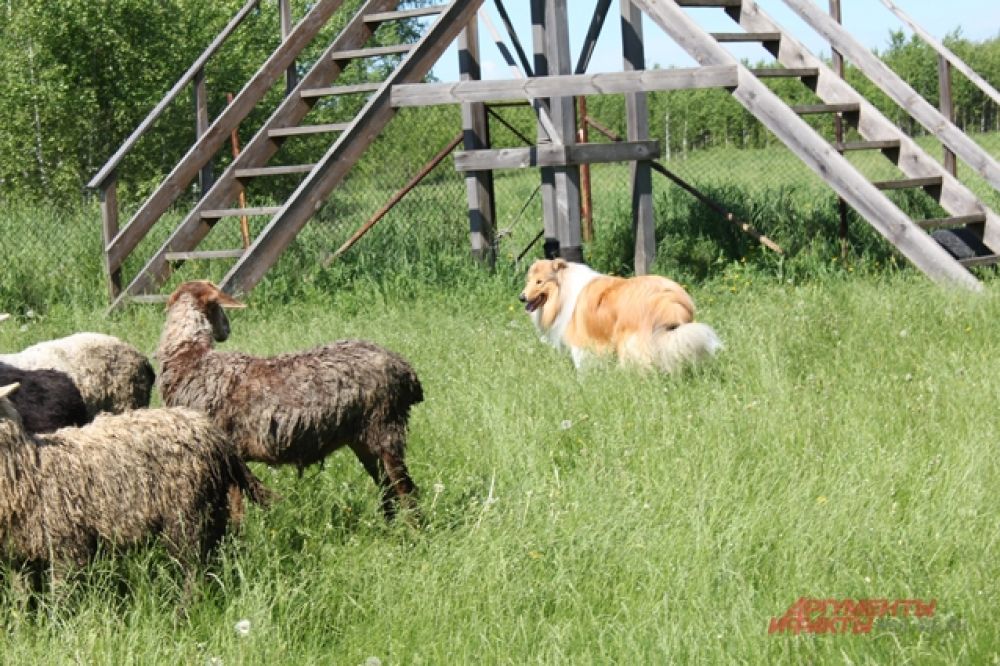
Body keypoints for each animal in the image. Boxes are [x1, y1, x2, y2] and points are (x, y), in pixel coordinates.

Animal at [0, 382, 272, 580]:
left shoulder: (67, 545)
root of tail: (216, 435)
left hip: (187, 512)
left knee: (192, 570)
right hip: (213, 509)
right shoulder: (18, 558)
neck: (29, 468)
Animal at [158, 280, 424, 520]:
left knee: (406, 489)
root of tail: (405, 369)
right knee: (386, 487)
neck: (189, 358)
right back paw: (389, 525)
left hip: (385, 427)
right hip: (362, 438)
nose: (228, 329)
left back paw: (411, 531)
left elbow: (236, 511)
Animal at [520, 258, 724, 370]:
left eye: (539, 282)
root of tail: (668, 302)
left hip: (630, 340)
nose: (521, 297)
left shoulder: (580, 340)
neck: (563, 289)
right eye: (528, 280)